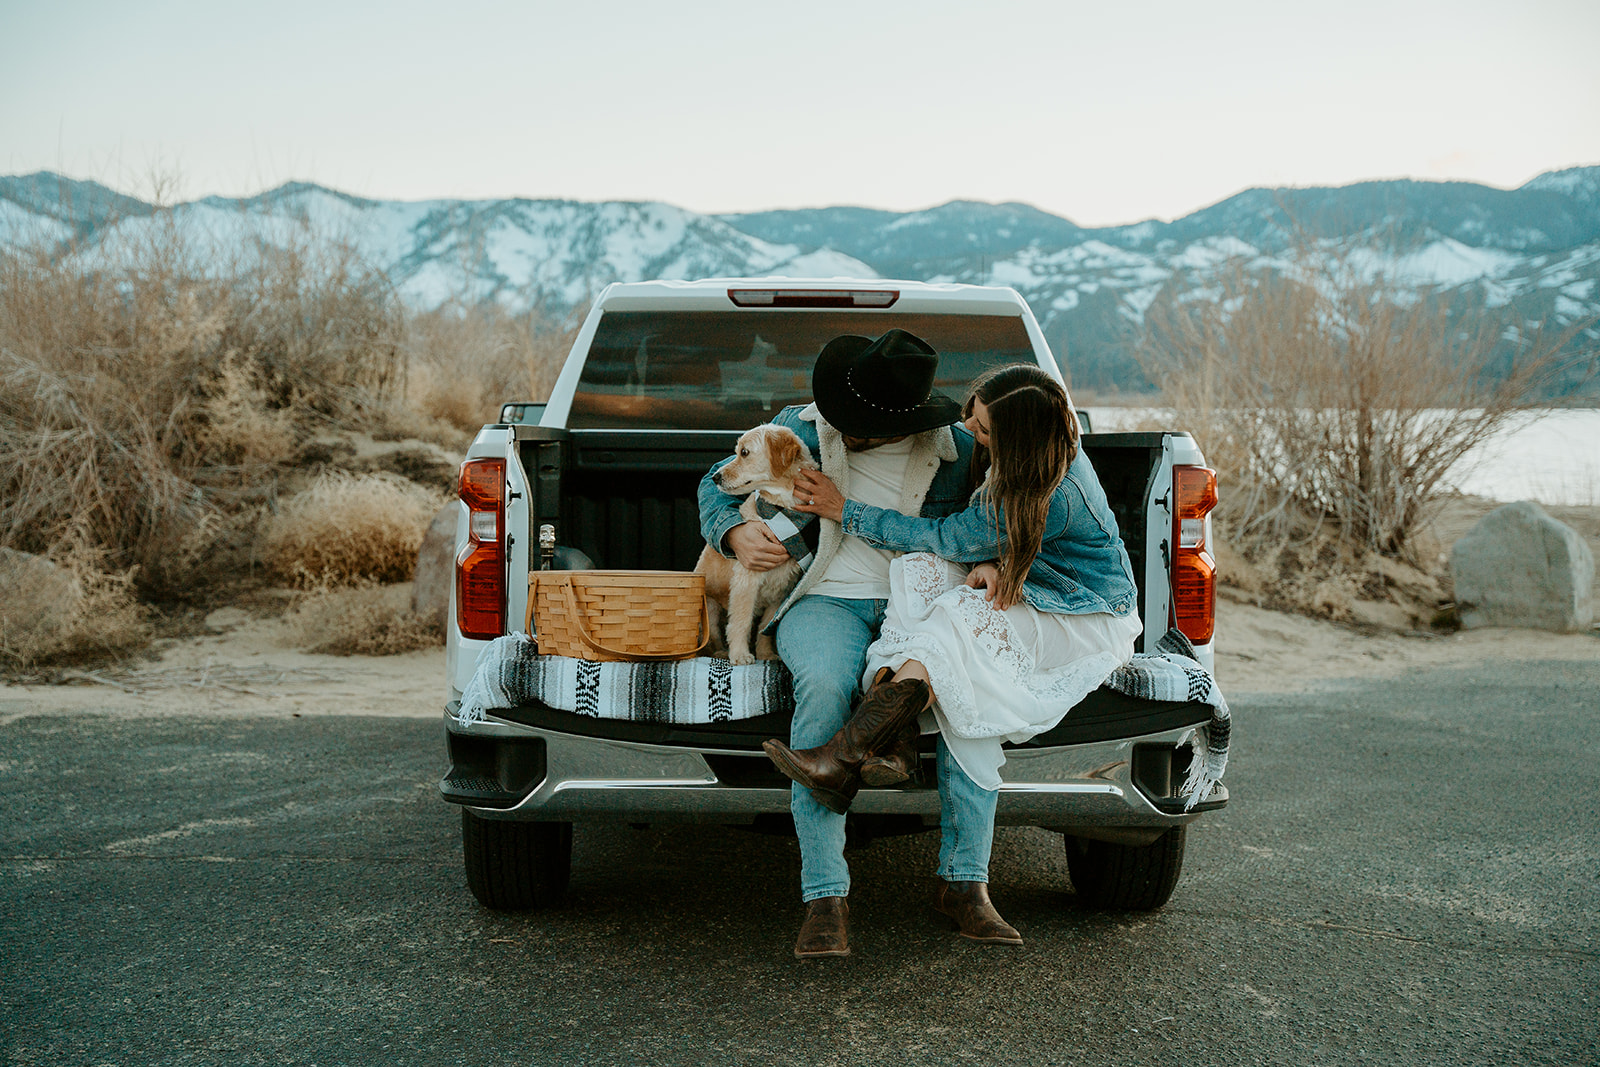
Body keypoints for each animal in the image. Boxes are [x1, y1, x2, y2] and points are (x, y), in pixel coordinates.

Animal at [700, 422, 819, 659]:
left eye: (744, 452)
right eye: (737, 451)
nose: (715, 477)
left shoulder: (780, 590)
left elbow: (765, 627)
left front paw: (765, 654)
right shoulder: (746, 581)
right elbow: (741, 621)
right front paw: (739, 654)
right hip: (710, 607)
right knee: (713, 637)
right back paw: (721, 652)